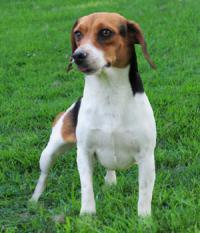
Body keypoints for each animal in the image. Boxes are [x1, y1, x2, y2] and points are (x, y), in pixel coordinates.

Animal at [30, 12, 157, 217]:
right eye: (77, 33)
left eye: (105, 32)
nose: (77, 56)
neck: (109, 92)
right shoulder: (84, 152)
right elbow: (86, 188)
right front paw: (87, 216)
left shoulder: (146, 156)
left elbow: (144, 195)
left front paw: (144, 219)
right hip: (49, 153)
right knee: (43, 176)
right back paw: (33, 200)